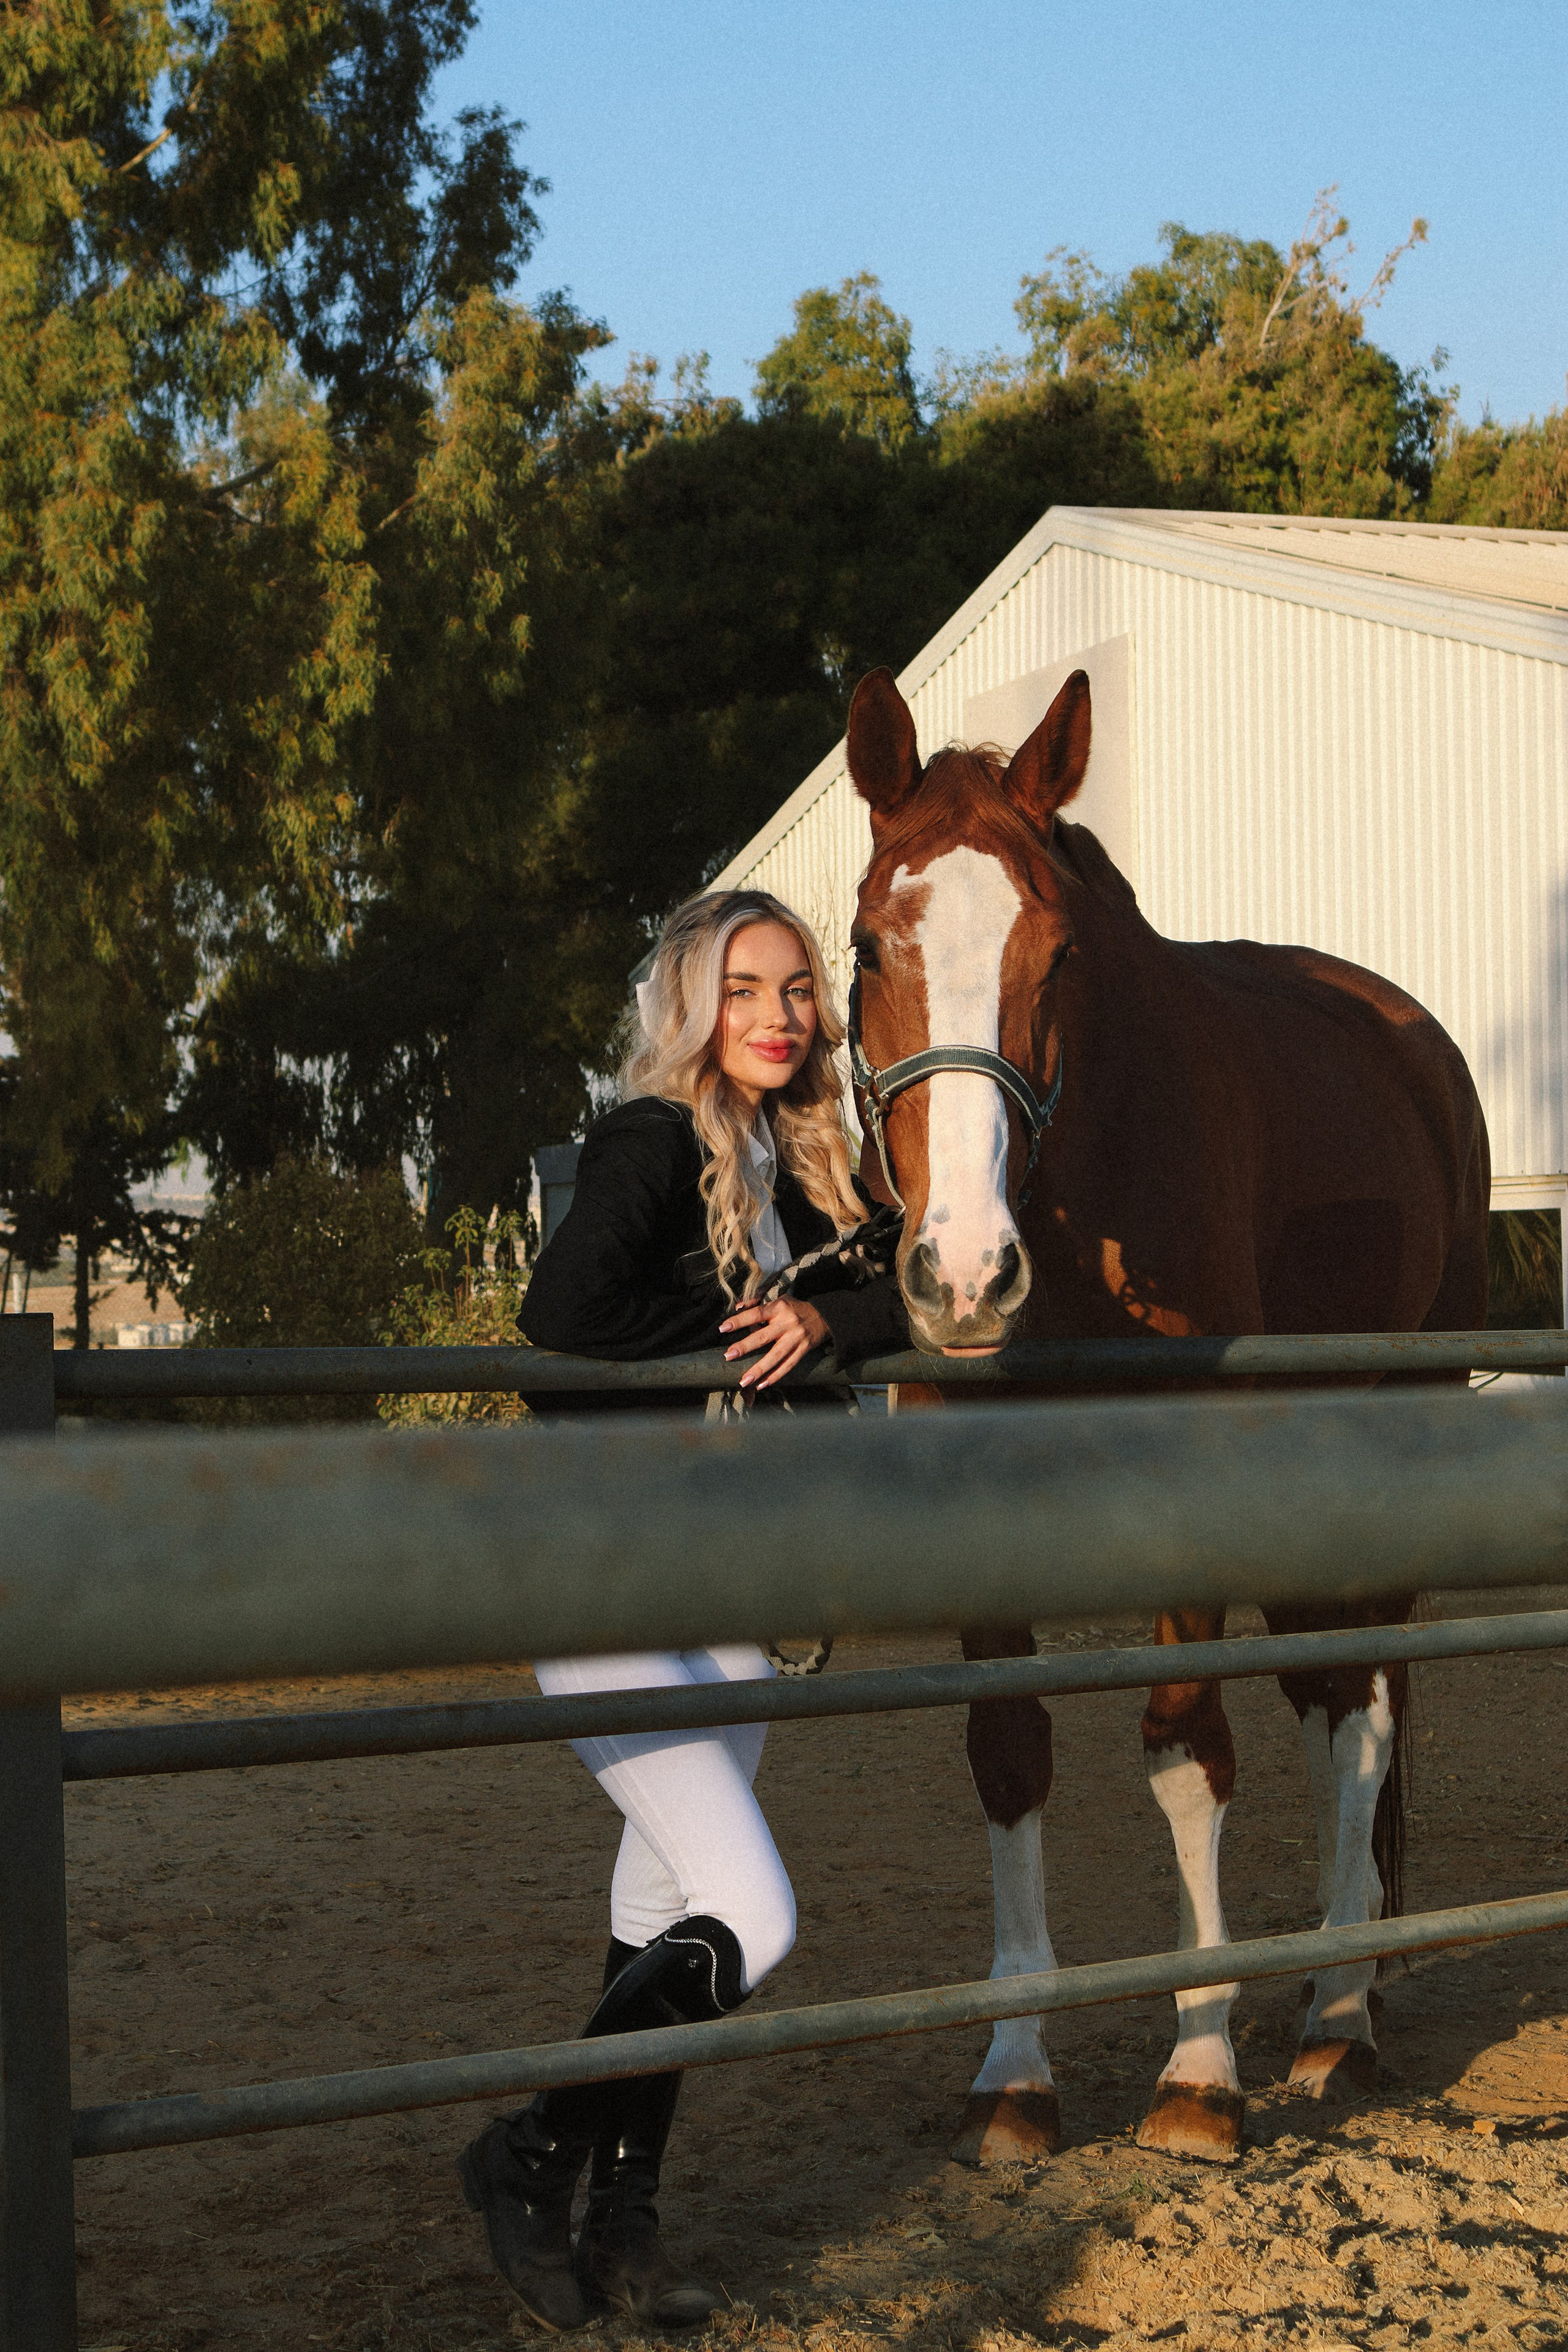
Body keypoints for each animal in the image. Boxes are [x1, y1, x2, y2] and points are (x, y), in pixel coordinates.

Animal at [843, 663, 1490, 2165]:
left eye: (1057, 954)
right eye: (864, 948)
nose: (964, 1275)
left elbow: (1186, 1748)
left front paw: (1198, 2070)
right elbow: (1008, 1756)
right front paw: (1013, 2071)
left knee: (1365, 1706)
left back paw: (1338, 2017)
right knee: (1330, 1696)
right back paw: (1334, 1986)